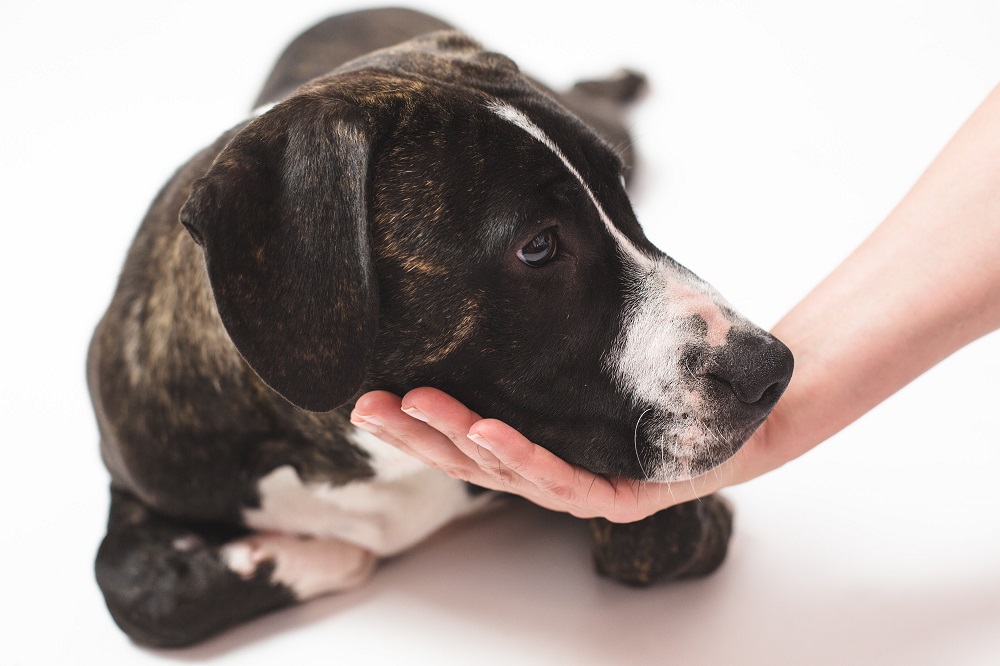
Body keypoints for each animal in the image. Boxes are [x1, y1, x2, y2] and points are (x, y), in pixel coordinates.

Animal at [90, 7, 792, 644]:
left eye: (623, 202)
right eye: (538, 246)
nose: (772, 368)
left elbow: (657, 539)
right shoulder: (140, 472)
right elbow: (135, 592)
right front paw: (307, 553)